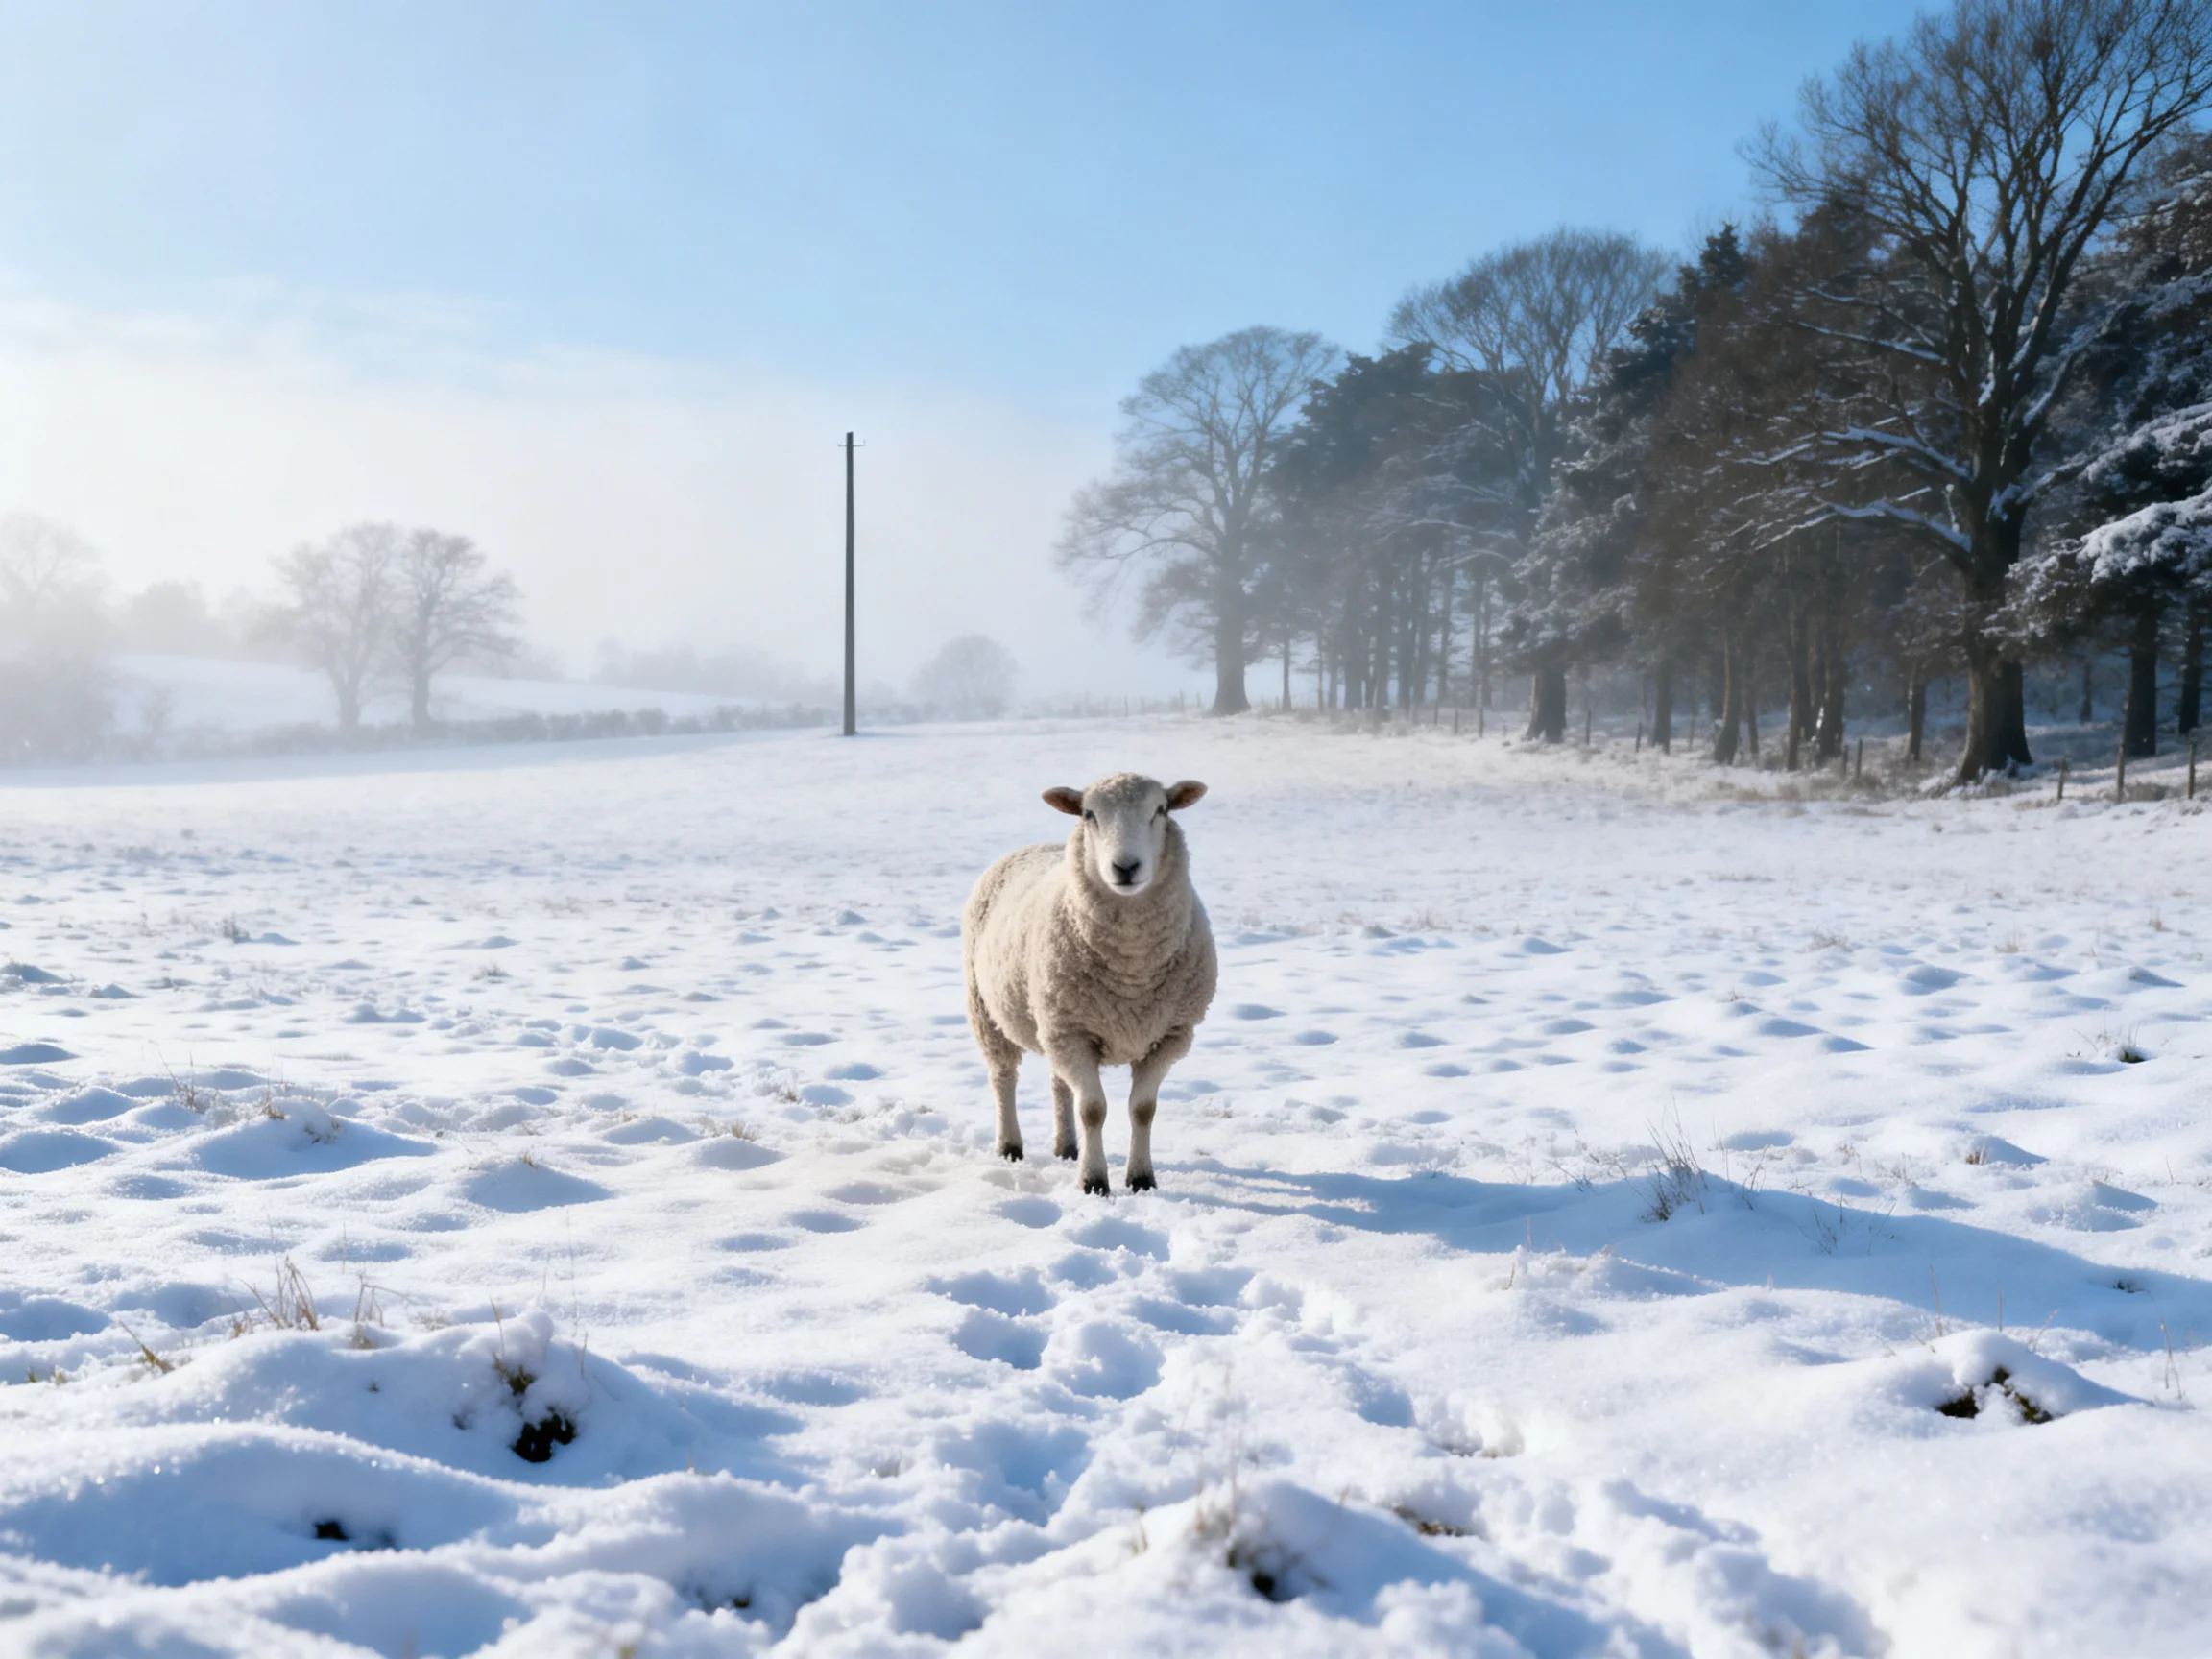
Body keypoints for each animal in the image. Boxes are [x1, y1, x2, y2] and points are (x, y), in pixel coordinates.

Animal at [962, 772, 1217, 1195]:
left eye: (1161, 810)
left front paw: (1141, 1178)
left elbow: (1143, 1110)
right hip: (989, 1012)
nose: (1125, 867)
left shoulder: (1169, 1036)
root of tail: (1034, 845)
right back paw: (1010, 1145)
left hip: (1052, 1022)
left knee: (1058, 1084)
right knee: (1003, 1078)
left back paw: (1066, 1146)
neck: (1132, 970)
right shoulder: (1074, 1033)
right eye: (1088, 814)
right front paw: (1094, 1181)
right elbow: (1093, 1110)